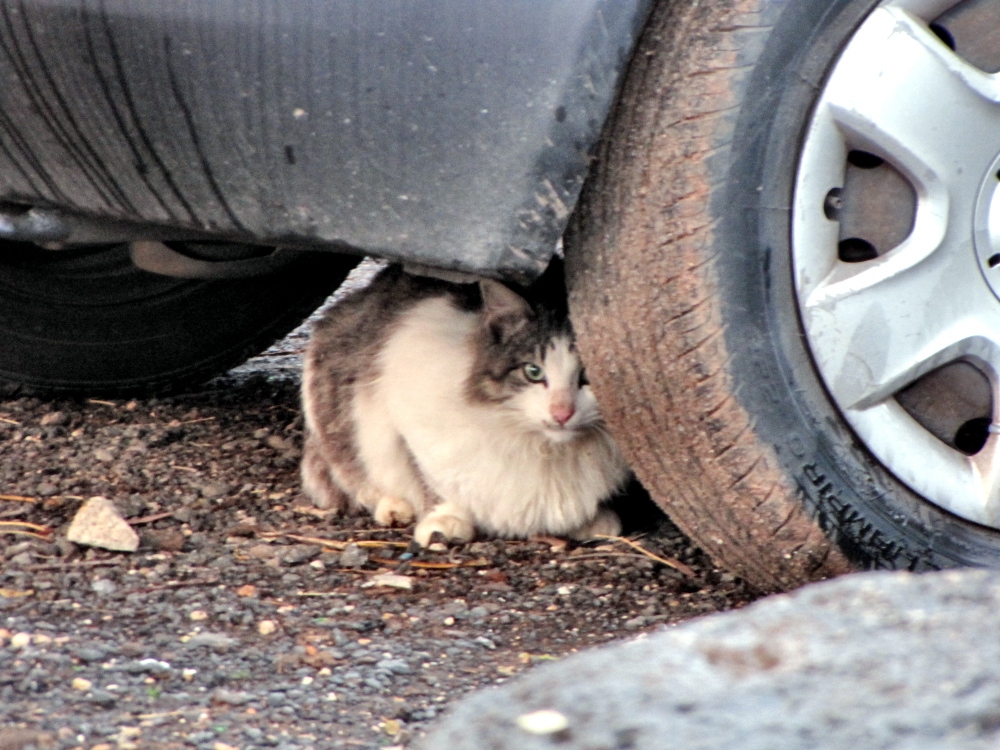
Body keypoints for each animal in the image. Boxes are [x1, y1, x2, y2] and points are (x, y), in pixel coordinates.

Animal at [296, 264, 628, 548]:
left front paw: (595, 521)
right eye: (533, 372)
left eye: (589, 376)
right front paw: (446, 522)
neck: (544, 449)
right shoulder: (406, 420)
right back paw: (393, 508)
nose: (562, 413)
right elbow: (432, 482)